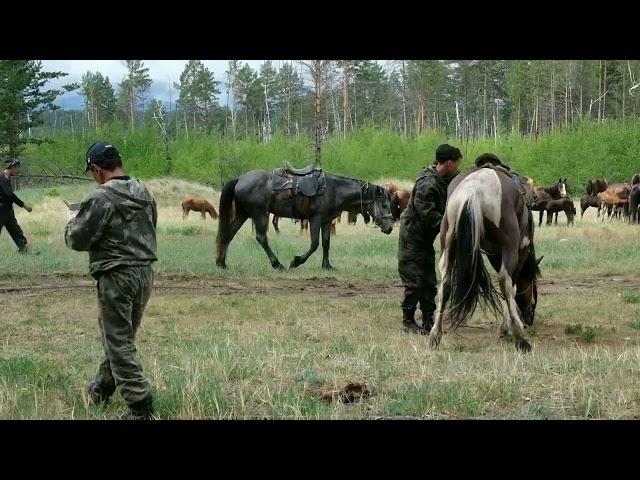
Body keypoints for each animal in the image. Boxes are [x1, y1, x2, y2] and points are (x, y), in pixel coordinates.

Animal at [218, 168, 392, 270]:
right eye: (384, 205)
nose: (390, 228)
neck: (335, 190)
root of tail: (239, 179)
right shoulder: (315, 220)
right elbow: (315, 244)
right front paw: (296, 261)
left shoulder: (326, 221)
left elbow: (326, 243)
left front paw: (327, 266)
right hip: (259, 214)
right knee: (261, 238)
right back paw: (277, 264)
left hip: (243, 214)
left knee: (228, 234)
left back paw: (221, 263)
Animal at [428, 167, 544, 354]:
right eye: (534, 284)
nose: (529, 319)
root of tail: (474, 189)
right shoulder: (520, 250)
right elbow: (512, 288)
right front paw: (508, 327)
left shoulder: (494, 254)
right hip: (510, 245)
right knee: (505, 280)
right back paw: (521, 338)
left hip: (448, 241)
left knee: (445, 284)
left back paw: (435, 335)